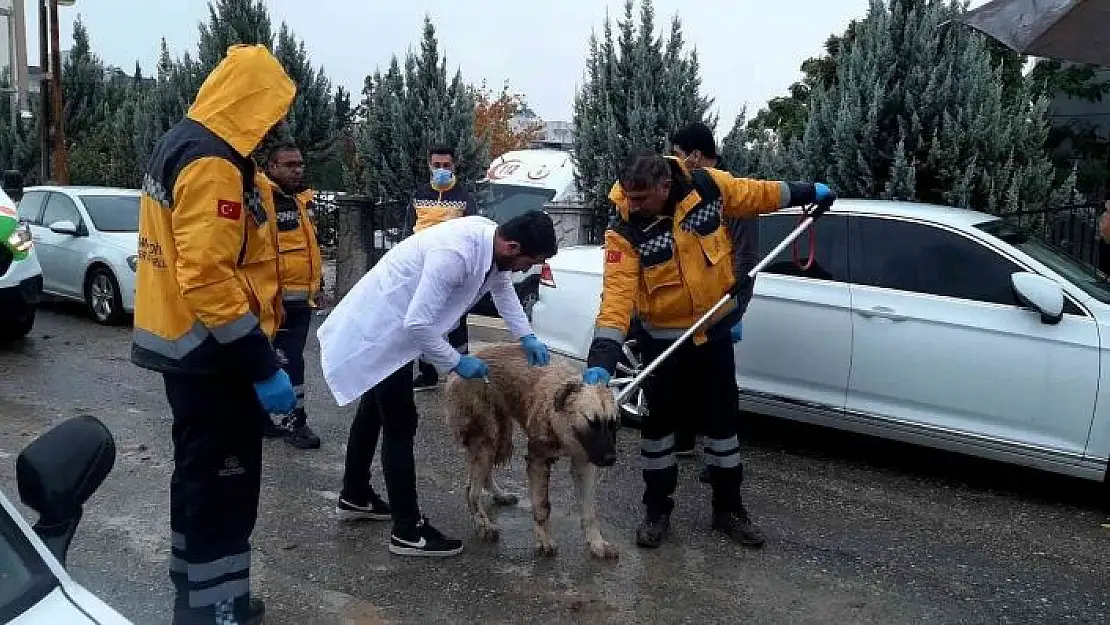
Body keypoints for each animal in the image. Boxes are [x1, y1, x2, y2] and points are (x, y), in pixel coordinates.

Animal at [439, 344, 617, 559]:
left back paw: (499, 496)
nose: (611, 459)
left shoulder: (585, 463)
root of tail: (463, 360)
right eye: (592, 423)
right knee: (471, 490)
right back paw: (484, 523)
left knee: (481, 477)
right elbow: (542, 506)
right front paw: (544, 540)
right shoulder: (538, 461)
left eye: (613, 423)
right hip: (487, 439)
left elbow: (589, 511)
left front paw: (596, 543)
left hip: (500, 437)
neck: (559, 415)